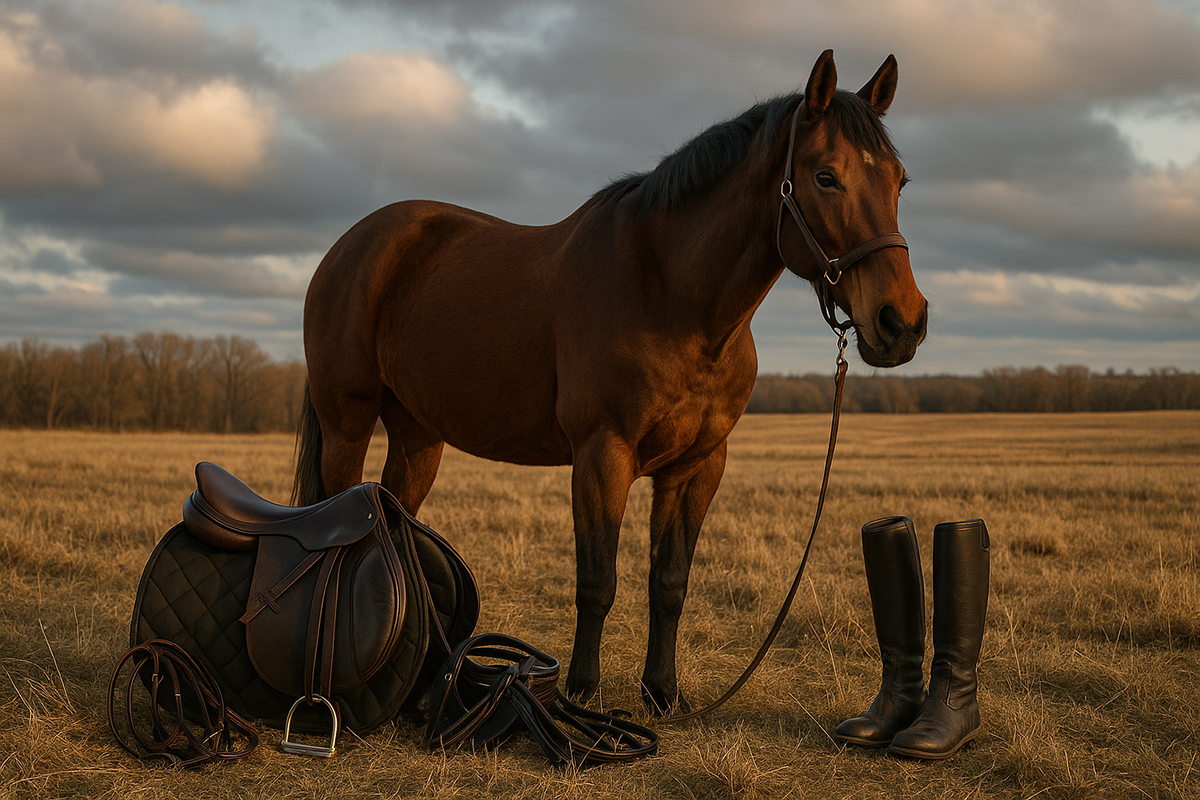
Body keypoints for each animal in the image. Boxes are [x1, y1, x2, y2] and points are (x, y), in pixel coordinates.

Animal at [293, 49, 927, 714]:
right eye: (826, 177)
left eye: (899, 181)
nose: (902, 322)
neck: (670, 295)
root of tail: (353, 244)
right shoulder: (604, 454)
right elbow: (598, 582)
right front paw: (579, 692)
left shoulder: (698, 466)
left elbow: (669, 582)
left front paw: (662, 693)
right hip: (346, 425)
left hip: (418, 435)